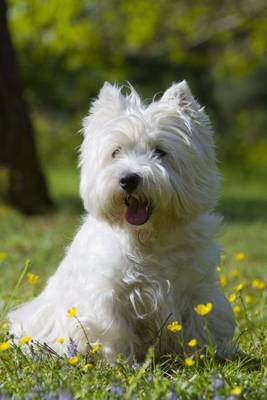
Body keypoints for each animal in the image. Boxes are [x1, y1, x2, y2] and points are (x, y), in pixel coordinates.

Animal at [7, 81, 236, 362]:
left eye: (160, 151)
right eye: (115, 152)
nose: (128, 179)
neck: (147, 237)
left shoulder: (198, 288)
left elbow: (200, 324)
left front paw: (203, 356)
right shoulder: (109, 295)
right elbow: (115, 331)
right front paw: (122, 363)